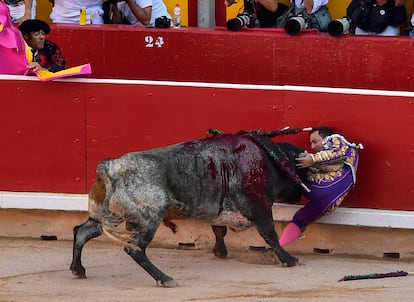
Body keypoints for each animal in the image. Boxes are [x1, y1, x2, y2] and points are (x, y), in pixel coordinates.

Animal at [69, 132, 308, 288]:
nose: (299, 196)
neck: (271, 160)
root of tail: (109, 166)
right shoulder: (260, 207)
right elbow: (270, 234)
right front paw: (289, 259)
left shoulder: (219, 208)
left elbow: (219, 230)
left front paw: (220, 252)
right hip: (149, 218)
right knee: (134, 248)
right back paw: (165, 279)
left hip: (108, 215)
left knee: (81, 232)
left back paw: (78, 269)